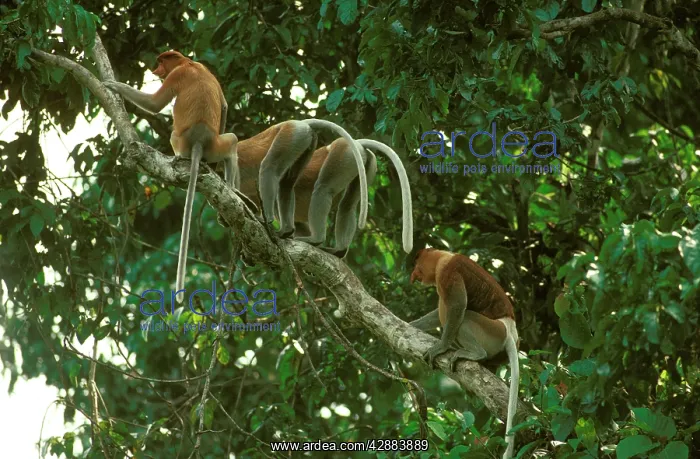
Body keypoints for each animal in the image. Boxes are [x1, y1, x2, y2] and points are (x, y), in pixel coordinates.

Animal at [103, 50, 255, 295]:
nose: (155, 69)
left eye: (161, 61)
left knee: (175, 135)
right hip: (216, 144)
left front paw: (114, 85)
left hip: (179, 140)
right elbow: (224, 104)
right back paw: (232, 189)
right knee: (232, 141)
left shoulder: (176, 75)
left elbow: (155, 104)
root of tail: (199, 141)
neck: (189, 62)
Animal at [236, 132, 413, 257]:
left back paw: (317, 240)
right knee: (348, 205)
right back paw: (339, 250)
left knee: (323, 188)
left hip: (342, 156)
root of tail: (357, 144)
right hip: (365, 165)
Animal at [409, 248, 519, 459]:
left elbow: (457, 306)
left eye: (417, 264)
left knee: (463, 315)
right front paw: (413, 325)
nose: (414, 276)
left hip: (492, 332)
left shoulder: (448, 272)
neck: (444, 257)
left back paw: (475, 354)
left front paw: (441, 347)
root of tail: (509, 330)